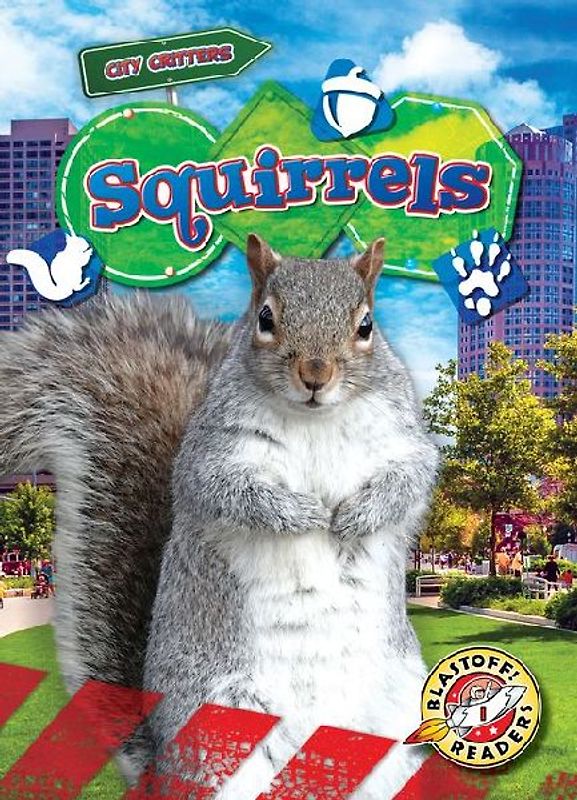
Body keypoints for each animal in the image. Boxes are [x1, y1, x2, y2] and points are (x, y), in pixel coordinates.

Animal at [0, 235, 438, 799]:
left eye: (366, 325)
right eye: (266, 318)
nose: (315, 375)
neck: (315, 419)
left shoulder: (403, 439)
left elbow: (411, 478)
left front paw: (358, 514)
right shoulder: (211, 456)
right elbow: (233, 493)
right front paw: (303, 514)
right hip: (221, 733)